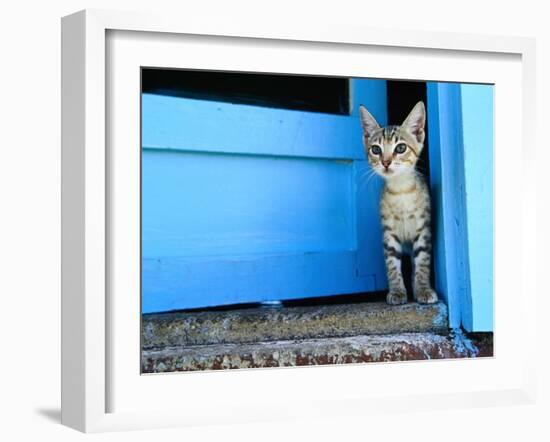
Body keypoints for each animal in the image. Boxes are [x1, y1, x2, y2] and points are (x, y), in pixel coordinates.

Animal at [362, 102, 440, 306]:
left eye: (401, 148)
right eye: (376, 150)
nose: (386, 162)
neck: (401, 191)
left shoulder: (423, 230)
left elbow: (422, 261)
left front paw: (423, 289)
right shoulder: (389, 234)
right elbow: (392, 264)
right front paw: (397, 291)